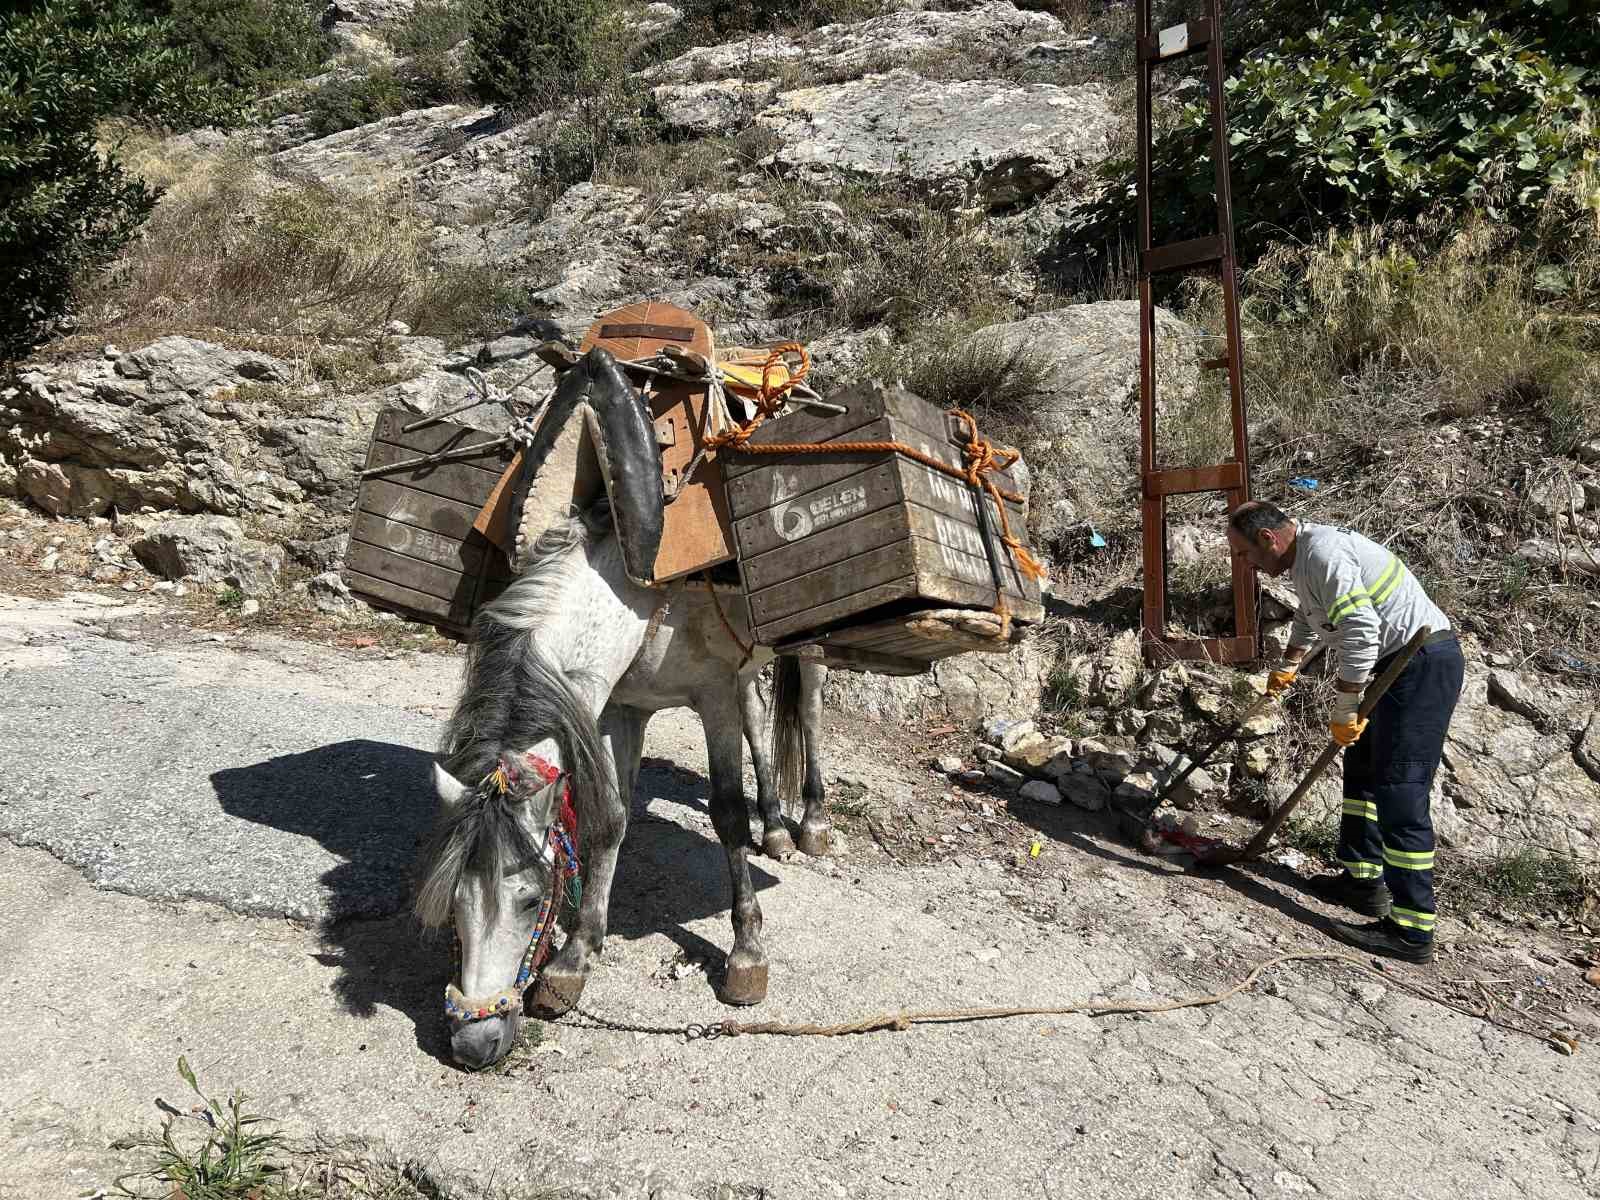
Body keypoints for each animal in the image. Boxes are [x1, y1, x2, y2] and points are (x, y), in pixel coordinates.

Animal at [419, 508, 832, 1068]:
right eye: (454, 902)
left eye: (531, 900)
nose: (473, 1045)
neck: (642, 602)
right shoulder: (623, 705)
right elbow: (611, 819)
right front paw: (575, 959)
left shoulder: (713, 696)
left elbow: (726, 814)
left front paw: (747, 951)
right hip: (744, 671)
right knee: (757, 713)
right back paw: (774, 828)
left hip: (809, 648)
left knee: (808, 711)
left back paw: (810, 822)